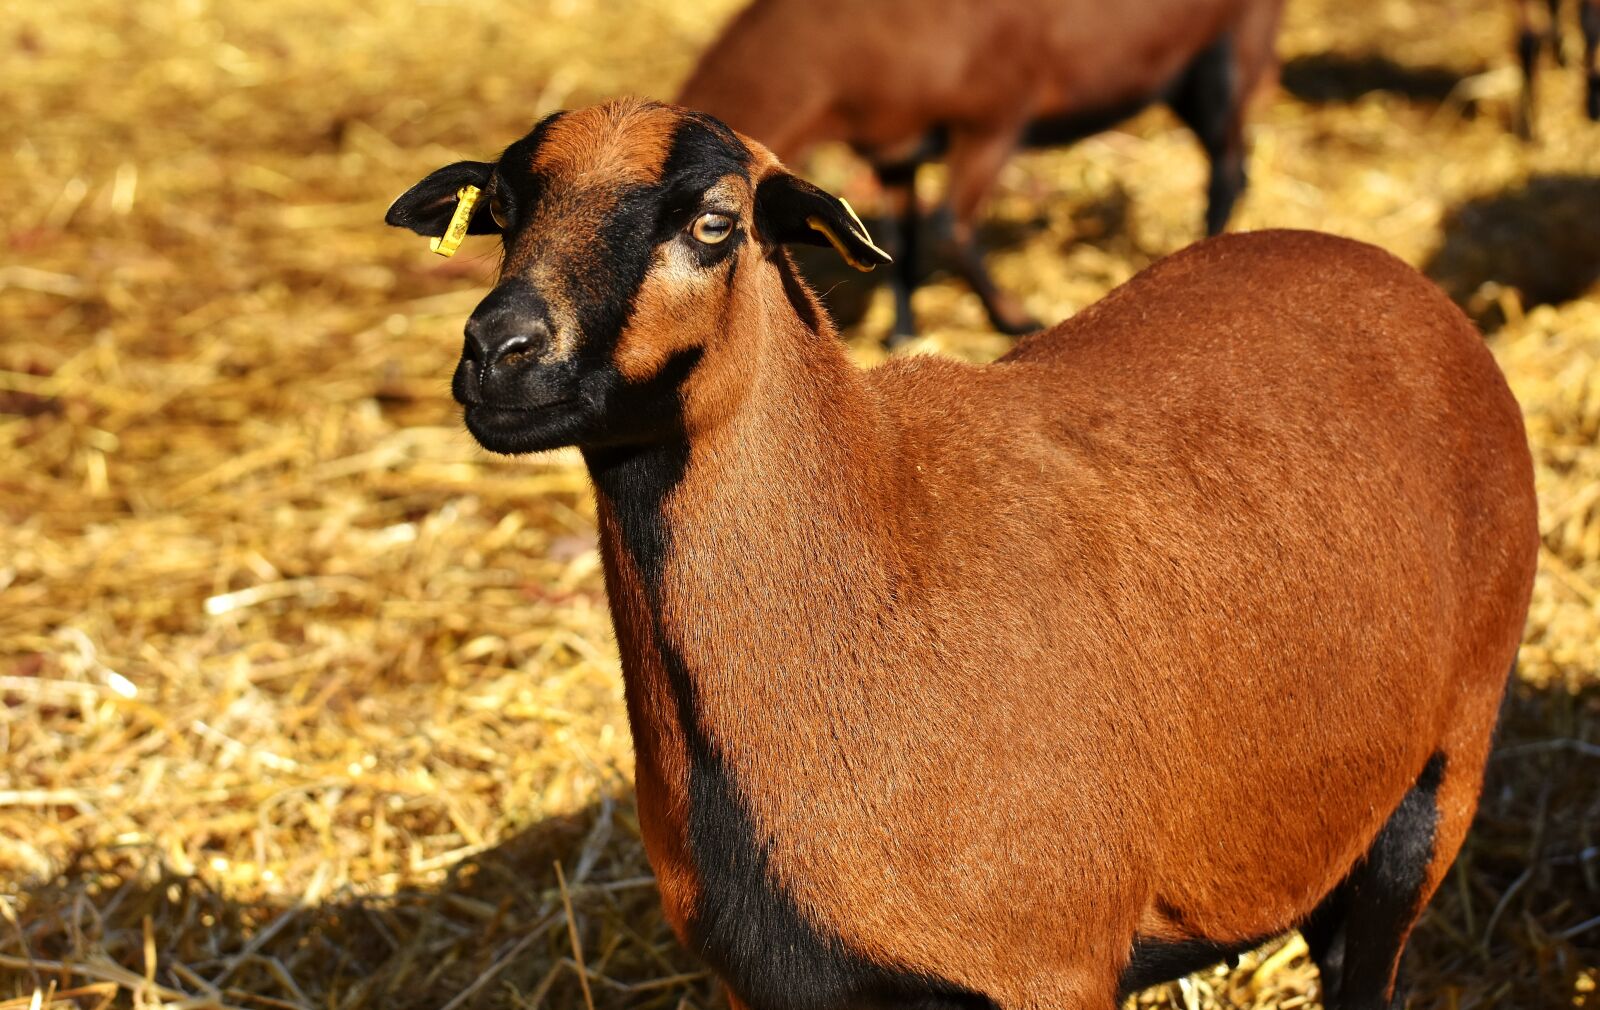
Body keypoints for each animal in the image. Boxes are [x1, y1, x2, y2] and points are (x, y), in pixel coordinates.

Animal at [386, 98, 1540, 1010]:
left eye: (714, 223)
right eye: (500, 213)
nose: (497, 352)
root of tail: (1376, 263)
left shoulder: (1050, 967)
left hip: (1441, 766)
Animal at [676, 0, 1285, 343]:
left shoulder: (993, 121)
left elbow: (949, 227)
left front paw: (1016, 319)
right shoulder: (894, 149)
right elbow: (899, 240)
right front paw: (902, 334)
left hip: (1235, 46)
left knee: (1226, 166)